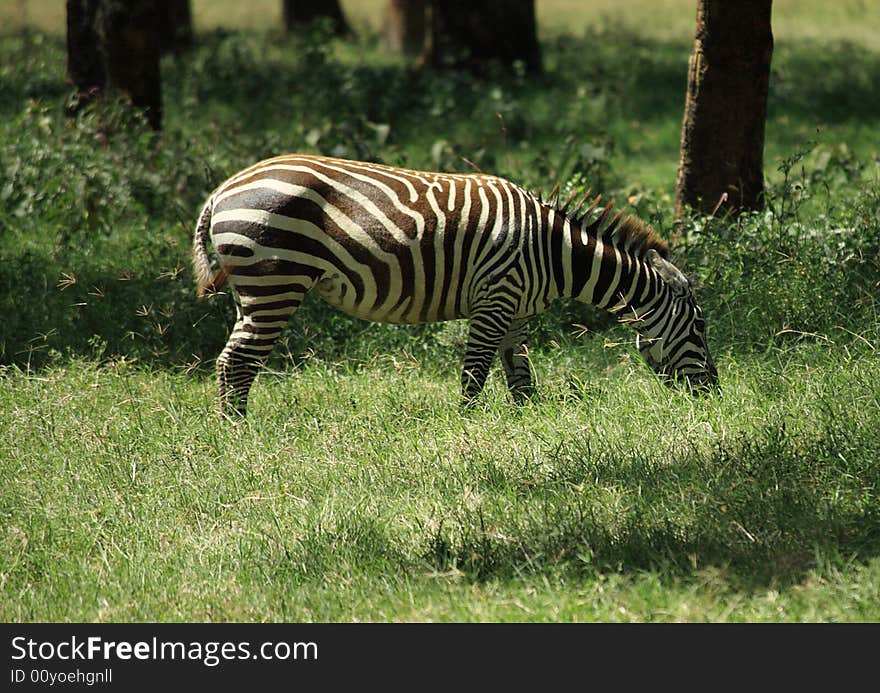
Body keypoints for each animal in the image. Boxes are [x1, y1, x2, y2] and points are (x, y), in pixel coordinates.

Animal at [192, 155, 716, 416]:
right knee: (236, 361)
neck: (555, 253)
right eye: (699, 328)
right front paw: (467, 428)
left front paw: (528, 425)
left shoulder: (515, 312)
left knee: (231, 359)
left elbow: (520, 376)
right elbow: (475, 375)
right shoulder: (495, 301)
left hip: (252, 291)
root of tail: (222, 189)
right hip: (275, 282)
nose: (714, 393)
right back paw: (237, 432)